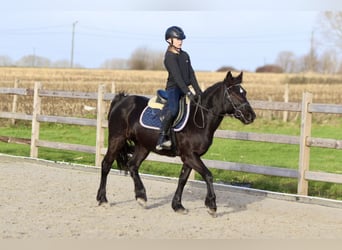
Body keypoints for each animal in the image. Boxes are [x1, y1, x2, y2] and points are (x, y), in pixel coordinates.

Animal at [96, 71, 254, 216]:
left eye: (244, 92)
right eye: (233, 94)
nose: (251, 116)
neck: (200, 118)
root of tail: (122, 100)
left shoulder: (190, 157)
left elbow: (182, 179)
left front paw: (178, 205)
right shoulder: (190, 155)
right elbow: (208, 175)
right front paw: (212, 206)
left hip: (143, 146)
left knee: (132, 166)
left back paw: (141, 197)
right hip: (117, 139)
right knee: (106, 164)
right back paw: (103, 199)